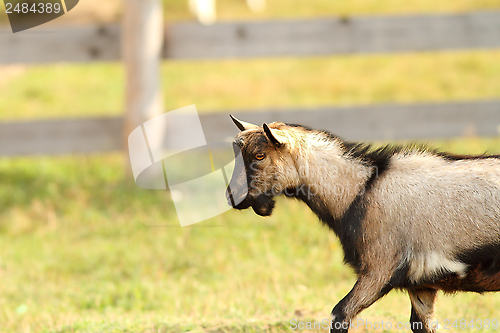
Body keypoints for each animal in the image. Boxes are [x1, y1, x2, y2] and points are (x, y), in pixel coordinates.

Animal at [226, 115, 500, 332]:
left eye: (260, 155)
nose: (232, 197)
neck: (361, 190)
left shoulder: (378, 269)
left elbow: (340, 313)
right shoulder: (421, 284)